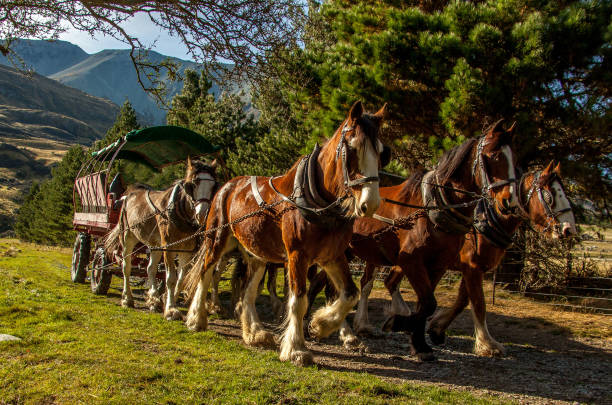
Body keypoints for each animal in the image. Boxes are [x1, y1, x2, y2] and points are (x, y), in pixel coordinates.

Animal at [105, 157, 218, 318]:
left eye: (213, 185)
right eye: (192, 184)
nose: (202, 214)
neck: (180, 212)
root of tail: (130, 193)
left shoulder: (187, 251)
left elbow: (181, 278)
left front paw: (165, 300)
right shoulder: (168, 247)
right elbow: (170, 278)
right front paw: (171, 309)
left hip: (155, 244)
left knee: (151, 269)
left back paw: (154, 301)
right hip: (127, 237)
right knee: (126, 267)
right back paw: (127, 299)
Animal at [184, 102, 390, 366]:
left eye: (381, 152)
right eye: (353, 149)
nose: (370, 203)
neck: (317, 201)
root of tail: (227, 187)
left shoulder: (332, 256)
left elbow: (350, 294)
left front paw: (321, 325)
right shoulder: (297, 256)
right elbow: (298, 301)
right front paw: (296, 349)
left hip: (257, 255)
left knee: (248, 291)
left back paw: (254, 333)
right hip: (217, 241)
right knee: (206, 273)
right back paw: (196, 319)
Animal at [346, 120, 520, 360]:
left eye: (515, 160)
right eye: (493, 155)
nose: (510, 202)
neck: (433, 208)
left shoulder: (438, 265)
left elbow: (425, 305)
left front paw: (419, 343)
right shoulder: (411, 261)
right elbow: (431, 303)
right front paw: (398, 323)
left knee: (361, 283)